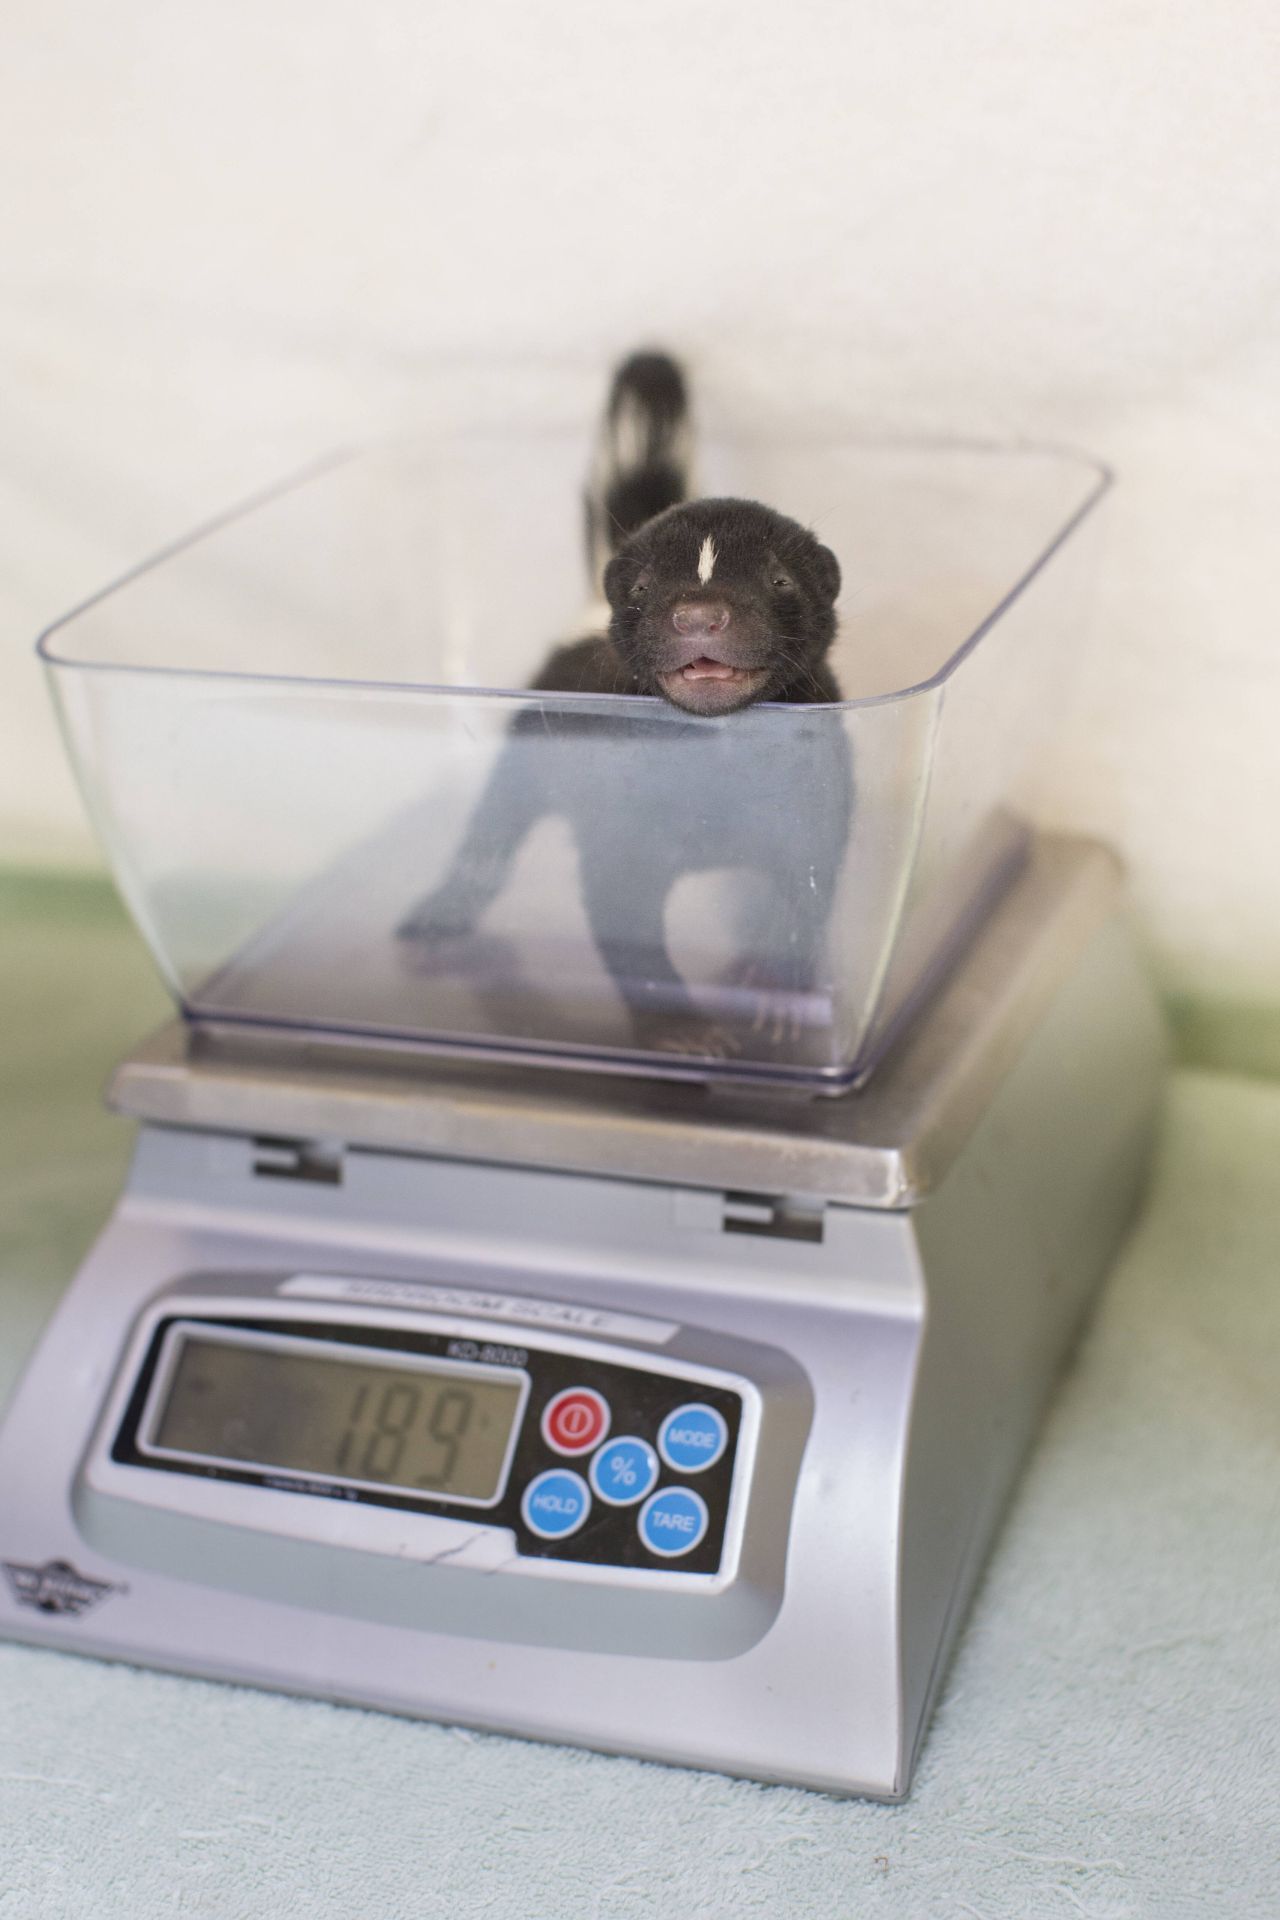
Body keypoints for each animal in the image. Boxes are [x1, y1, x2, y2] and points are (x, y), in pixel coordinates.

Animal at [401, 353, 852, 1059]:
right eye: (642, 589)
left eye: (780, 579)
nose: (698, 615)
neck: (716, 749)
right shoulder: (618, 794)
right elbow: (623, 906)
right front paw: (680, 1028)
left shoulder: (814, 775)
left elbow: (808, 876)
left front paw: (775, 989)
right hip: (536, 738)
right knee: (494, 826)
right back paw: (442, 916)